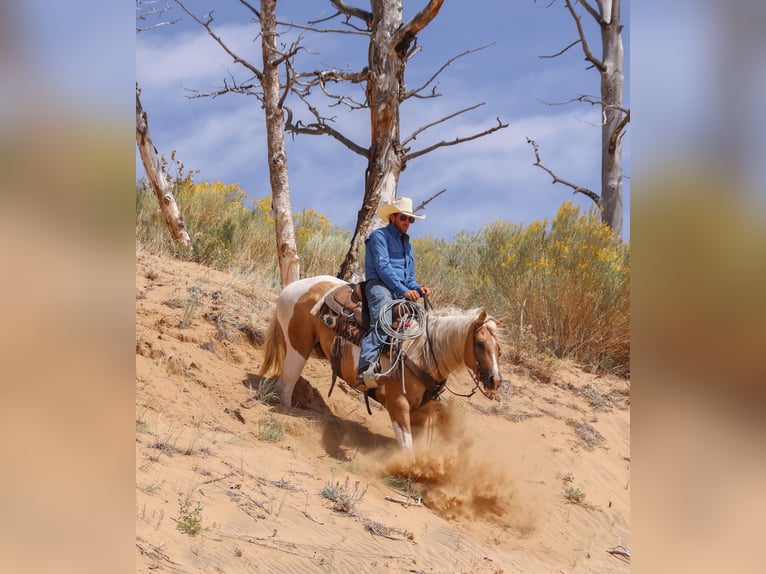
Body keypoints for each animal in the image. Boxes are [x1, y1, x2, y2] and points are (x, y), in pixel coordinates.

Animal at [255, 275, 504, 450]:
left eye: (499, 350)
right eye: (480, 343)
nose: (495, 381)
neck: (421, 351)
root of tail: (292, 287)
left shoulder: (422, 412)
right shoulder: (397, 404)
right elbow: (407, 447)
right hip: (298, 350)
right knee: (286, 384)